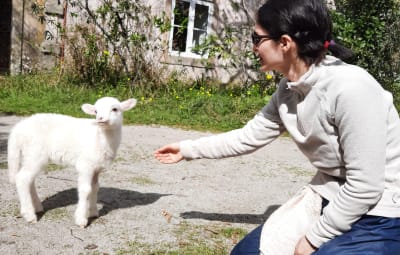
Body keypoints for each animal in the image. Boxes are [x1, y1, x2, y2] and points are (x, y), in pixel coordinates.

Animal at [6, 96, 136, 227]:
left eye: (115, 109)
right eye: (95, 111)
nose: (100, 118)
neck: (100, 138)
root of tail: (17, 129)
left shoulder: (96, 166)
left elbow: (95, 187)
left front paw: (93, 212)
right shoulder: (85, 164)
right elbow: (86, 189)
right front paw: (81, 219)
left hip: (30, 155)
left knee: (29, 179)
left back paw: (37, 207)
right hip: (34, 152)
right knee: (22, 178)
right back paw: (29, 215)